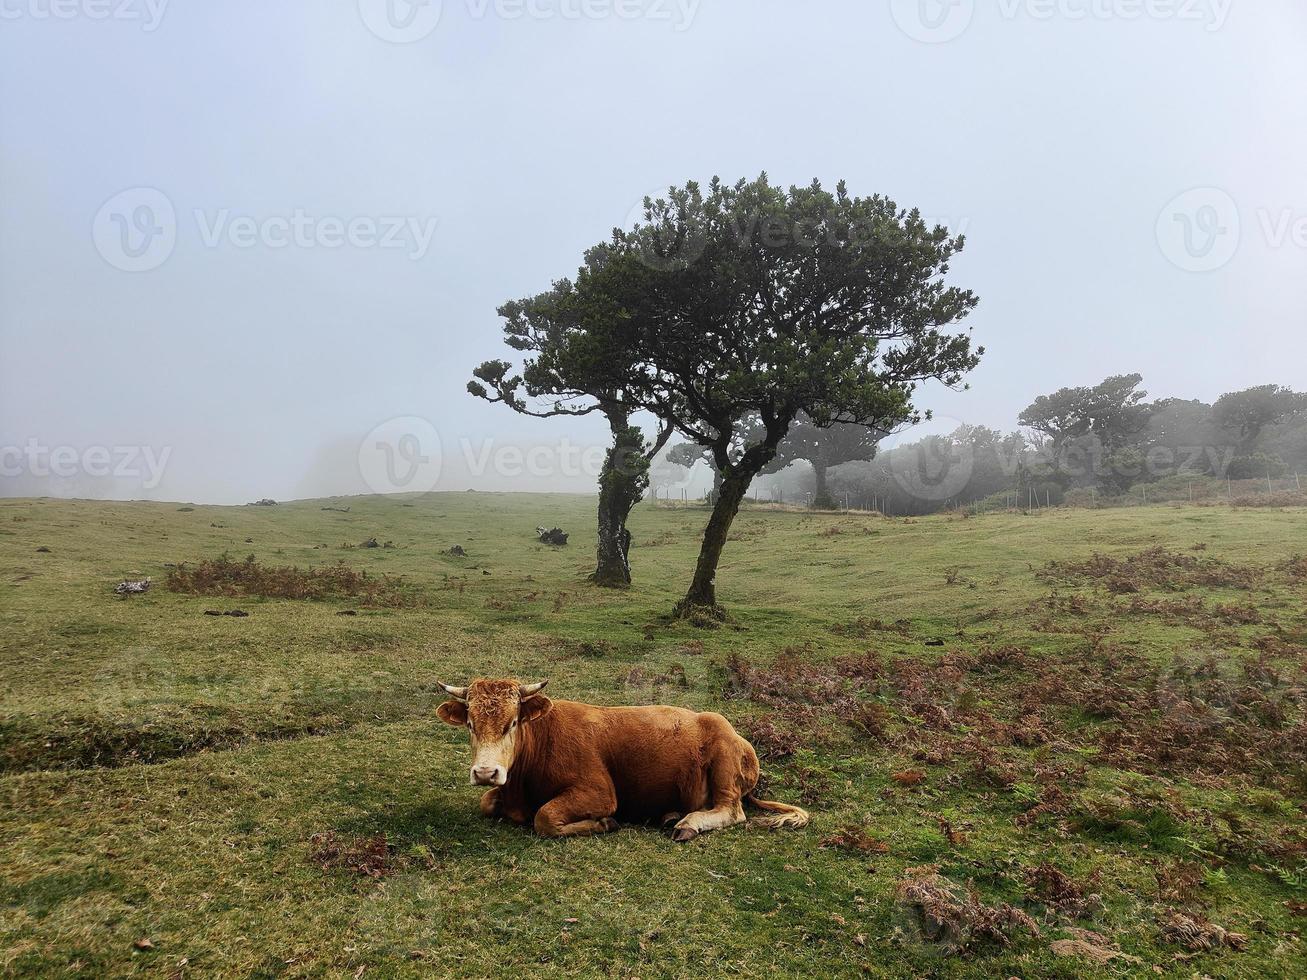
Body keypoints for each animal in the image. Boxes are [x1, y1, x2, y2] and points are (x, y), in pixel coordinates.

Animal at [439, 674, 805, 846]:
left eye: (513, 722)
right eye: (470, 724)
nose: (486, 772)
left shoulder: (599, 792)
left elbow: (544, 818)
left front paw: (605, 823)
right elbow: (487, 802)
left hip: (725, 762)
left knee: (732, 810)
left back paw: (688, 823)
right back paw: (672, 816)